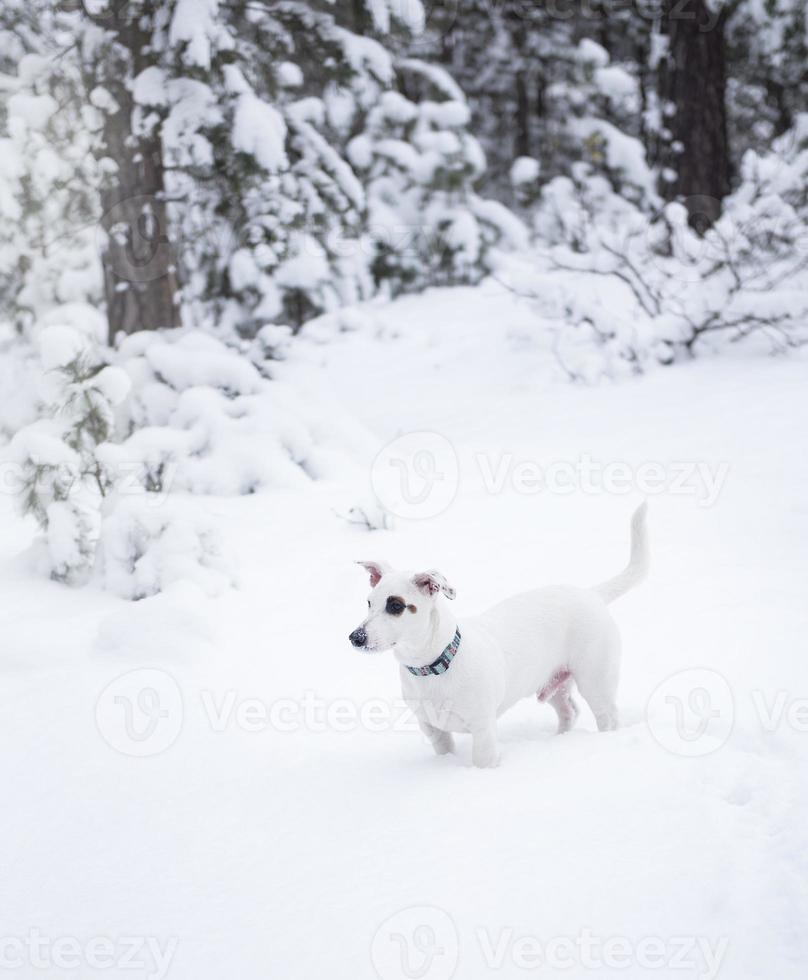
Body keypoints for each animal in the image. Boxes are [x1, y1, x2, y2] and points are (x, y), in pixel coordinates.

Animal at [350, 506, 648, 764]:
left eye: (396, 606)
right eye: (368, 602)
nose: (356, 637)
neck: (434, 666)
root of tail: (592, 594)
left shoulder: (483, 729)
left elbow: (483, 760)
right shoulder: (433, 729)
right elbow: (444, 749)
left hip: (596, 679)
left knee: (607, 715)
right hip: (555, 683)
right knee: (569, 712)